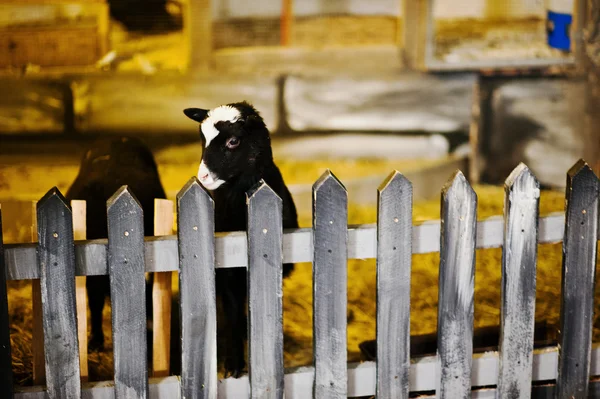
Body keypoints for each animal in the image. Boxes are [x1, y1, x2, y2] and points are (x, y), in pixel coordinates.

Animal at [182, 101, 296, 378]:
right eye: (202, 138)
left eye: (233, 141)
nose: (203, 177)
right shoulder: (227, 273)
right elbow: (233, 312)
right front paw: (233, 364)